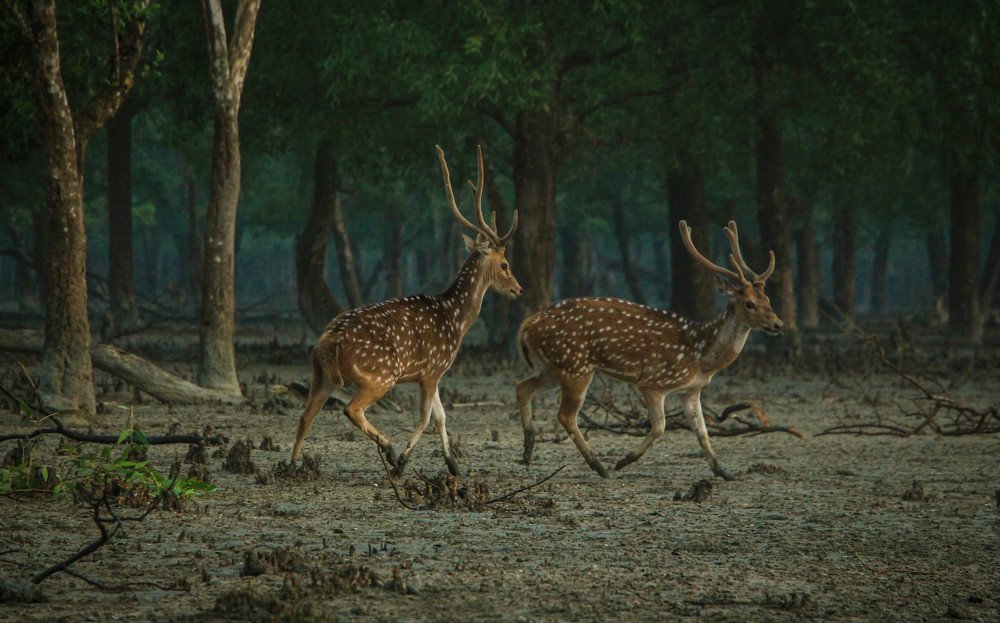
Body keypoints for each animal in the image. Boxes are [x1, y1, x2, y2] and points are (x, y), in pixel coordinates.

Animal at [290, 145, 521, 477]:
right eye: (504, 264)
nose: (519, 289)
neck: (455, 320)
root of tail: (327, 341)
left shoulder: (433, 372)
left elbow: (441, 416)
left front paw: (454, 465)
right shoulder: (433, 369)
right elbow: (426, 418)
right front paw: (402, 463)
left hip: (320, 374)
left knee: (305, 415)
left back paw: (292, 466)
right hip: (381, 374)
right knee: (351, 409)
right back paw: (387, 449)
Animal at [516, 220, 783, 481]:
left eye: (768, 300)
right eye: (750, 303)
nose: (778, 325)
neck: (701, 356)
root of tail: (527, 325)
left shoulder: (691, 391)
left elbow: (702, 432)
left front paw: (723, 472)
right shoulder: (654, 382)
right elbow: (660, 427)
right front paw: (624, 460)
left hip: (554, 367)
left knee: (523, 387)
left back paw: (528, 451)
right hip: (575, 367)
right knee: (565, 415)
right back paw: (599, 466)